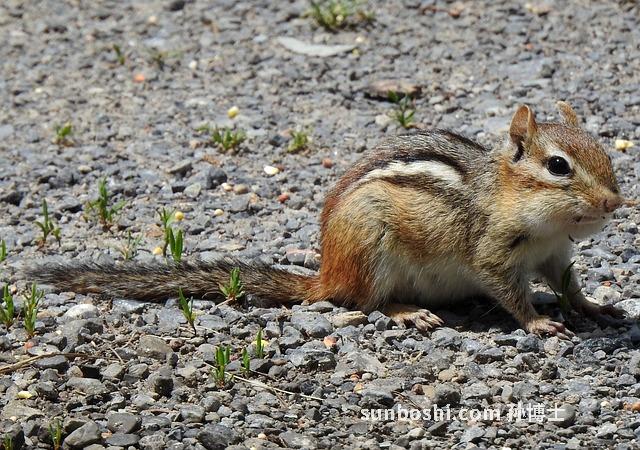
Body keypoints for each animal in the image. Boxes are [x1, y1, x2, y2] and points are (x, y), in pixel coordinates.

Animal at [28, 102, 626, 338]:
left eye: (604, 152)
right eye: (558, 166)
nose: (615, 205)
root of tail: (327, 271)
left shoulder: (555, 253)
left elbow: (569, 285)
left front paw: (595, 307)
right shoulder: (494, 251)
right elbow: (508, 289)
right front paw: (538, 322)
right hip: (373, 250)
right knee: (364, 302)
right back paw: (410, 312)